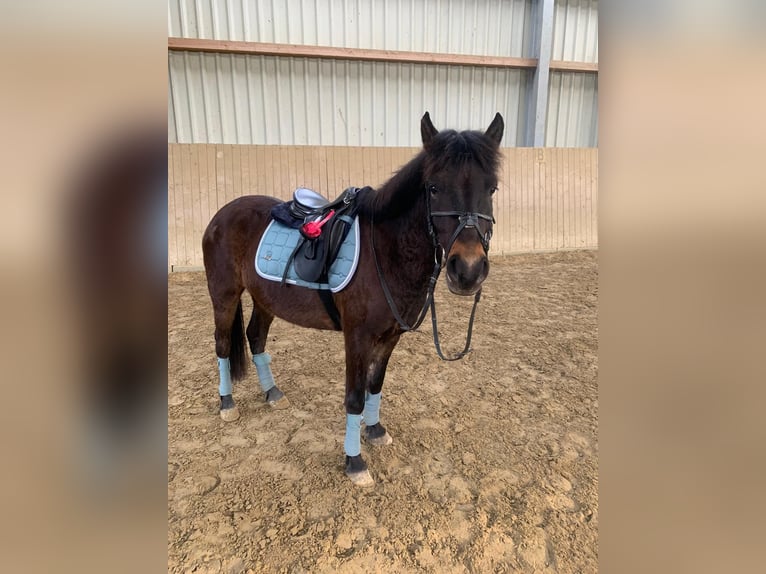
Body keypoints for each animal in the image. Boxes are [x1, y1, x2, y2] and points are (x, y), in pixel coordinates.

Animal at [202, 112, 504, 486]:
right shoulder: (357, 337)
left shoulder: (390, 337)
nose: (468, 270)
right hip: (224, 295)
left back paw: (273, 393)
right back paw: (227, 403)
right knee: (222, 344)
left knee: (255, 338)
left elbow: (375, 385)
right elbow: (355, 397)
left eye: (491, 188)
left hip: (265, 299)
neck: (386, 251)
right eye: (433, 188)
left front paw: (374, 430)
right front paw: (354, 461)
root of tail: (224, 212)